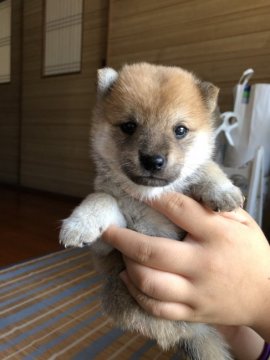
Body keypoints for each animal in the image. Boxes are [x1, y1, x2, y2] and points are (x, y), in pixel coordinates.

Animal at [60, 63, 243, 360]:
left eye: (180, 130)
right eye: (129, 126)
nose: (153, 160)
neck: (149, 198)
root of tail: (195, 328)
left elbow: (207, 167)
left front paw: (223, 191)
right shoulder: (109, 247)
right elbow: (102, 197)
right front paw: (80, 224)